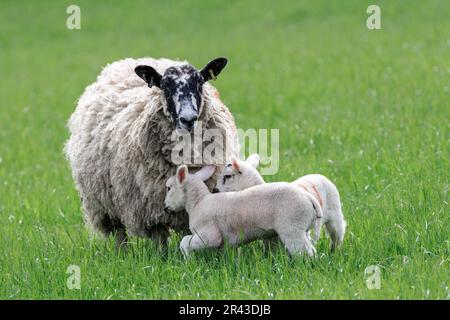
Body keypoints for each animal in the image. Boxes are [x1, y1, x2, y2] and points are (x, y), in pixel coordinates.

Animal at [64, 57, 239, 248]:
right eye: (164, 86)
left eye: (200, 82)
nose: (188, 119)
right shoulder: (150, 210)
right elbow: (160, 243)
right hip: (103, 204)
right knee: (119, 235)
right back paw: (122, 253)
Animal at [163, 165, 322, 258]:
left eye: (169, 188)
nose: (165, 207)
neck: (198, 202)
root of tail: (309, 198)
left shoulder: (209, 235)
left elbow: (184, 241)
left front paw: (187, 259)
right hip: (300, 229)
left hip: (292, 228)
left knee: (306, 253)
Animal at [214, 154, 348, 250]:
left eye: (227, 176)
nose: (214, 190)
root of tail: (319, 175)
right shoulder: (270, 237)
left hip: (335, 215)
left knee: (338, 234)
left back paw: (335, 251)